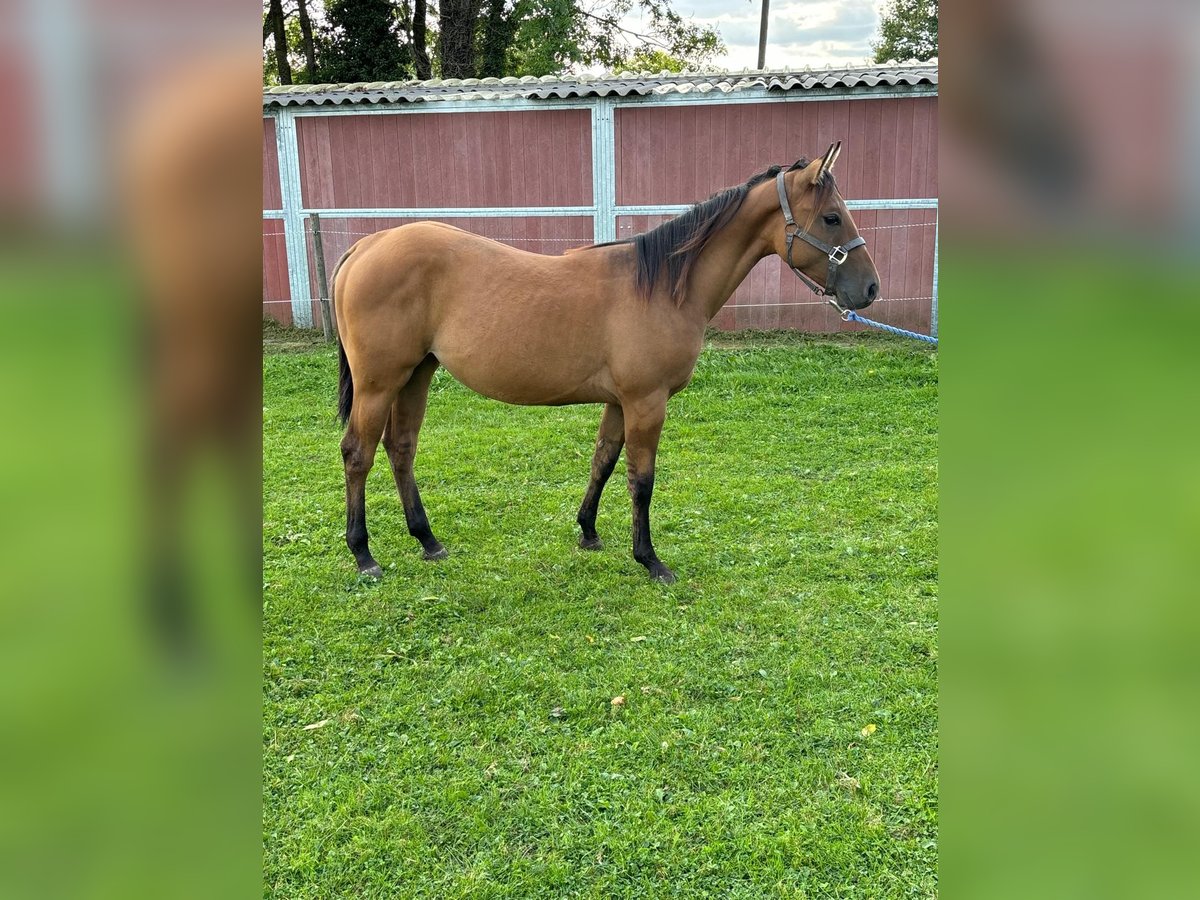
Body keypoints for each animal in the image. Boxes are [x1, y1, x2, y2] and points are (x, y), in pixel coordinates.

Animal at [333, 141, 878, 585]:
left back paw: (427, 540)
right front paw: (650, 559)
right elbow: (642, 479)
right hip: (379, 382)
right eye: (832, 217)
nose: (870, 289)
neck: (662, 286)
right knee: (358, 453)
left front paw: (588, 531)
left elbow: (604, 460)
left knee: (401, 449)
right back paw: (363, 555)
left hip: (416, 375)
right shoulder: (646, 402)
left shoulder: (620, 402)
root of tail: (365, 246)